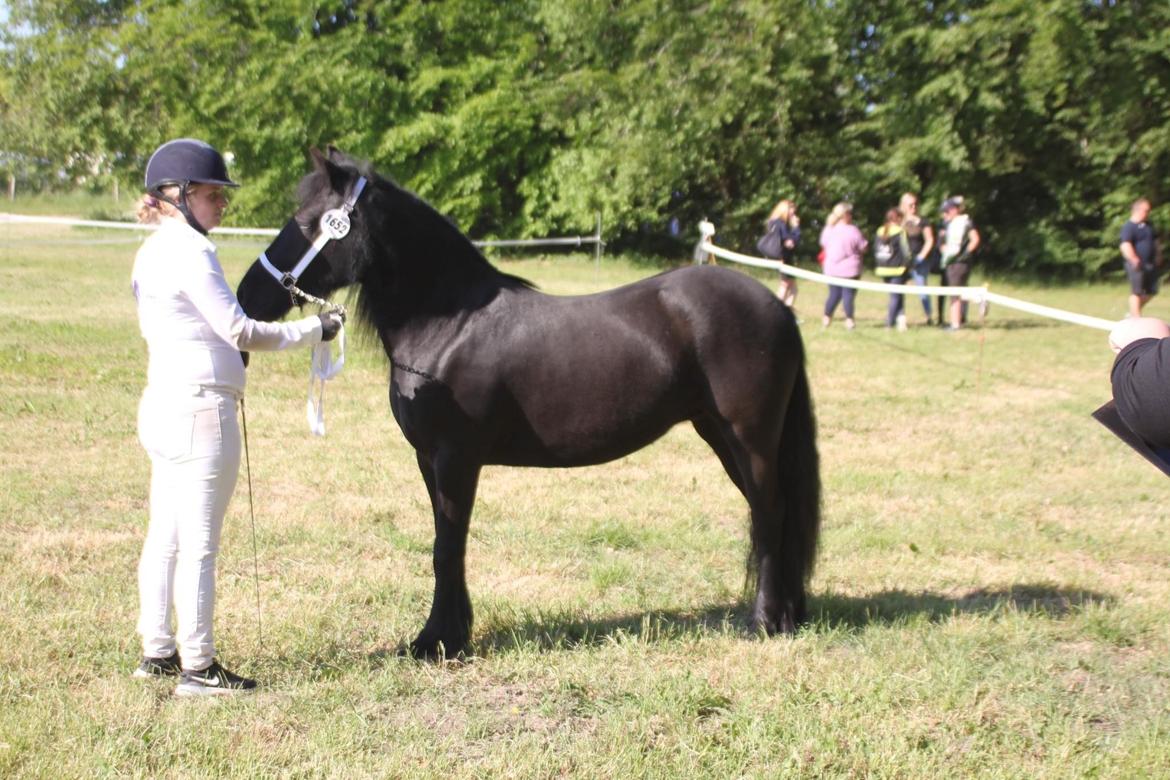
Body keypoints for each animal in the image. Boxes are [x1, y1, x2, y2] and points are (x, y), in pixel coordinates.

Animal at [235, 147, 821, 659]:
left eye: (310, 222)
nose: (247, 296)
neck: (450, 324)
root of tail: (776, 308)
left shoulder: (455, 459)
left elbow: (448, 545)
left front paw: (437, 643)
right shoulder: (430, 461)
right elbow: (446, 541)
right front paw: (450, 634)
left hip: (749, 438)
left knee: (770, 512)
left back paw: (765, 622)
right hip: (721, 435)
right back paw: (789, 614)